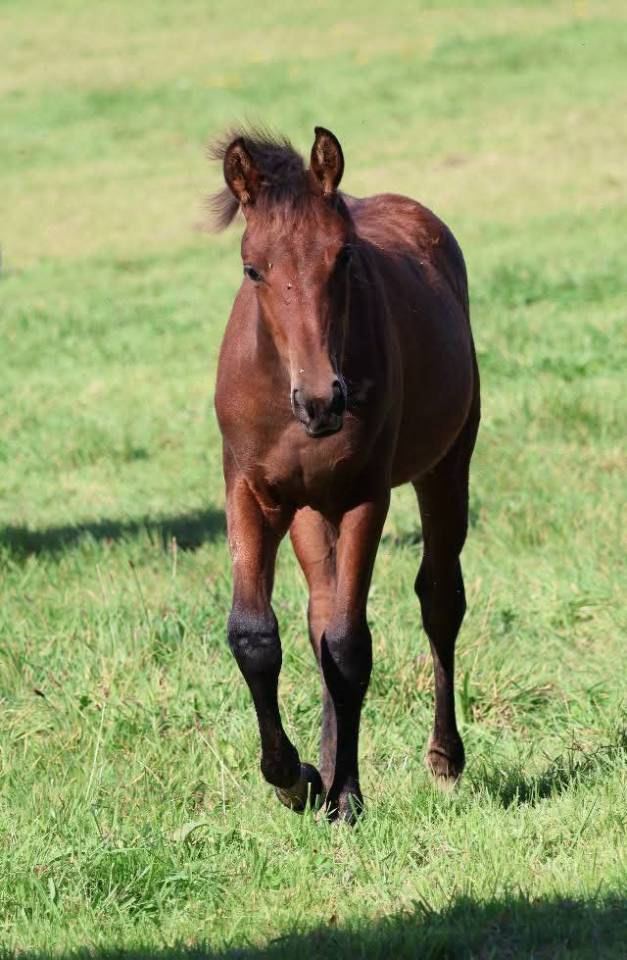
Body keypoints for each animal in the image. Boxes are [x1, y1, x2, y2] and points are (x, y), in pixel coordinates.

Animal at [211, 126, 480, 822]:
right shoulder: (250, 492)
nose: (322, 401)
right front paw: (296, 777)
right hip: (311, 510)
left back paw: (443, 758)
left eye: (344, 258)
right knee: (320, 615)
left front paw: (346, 796)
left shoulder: (364, 497)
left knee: (439, 598)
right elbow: (256, 636)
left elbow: (350, 646)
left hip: (447, 466)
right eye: (252, 269)